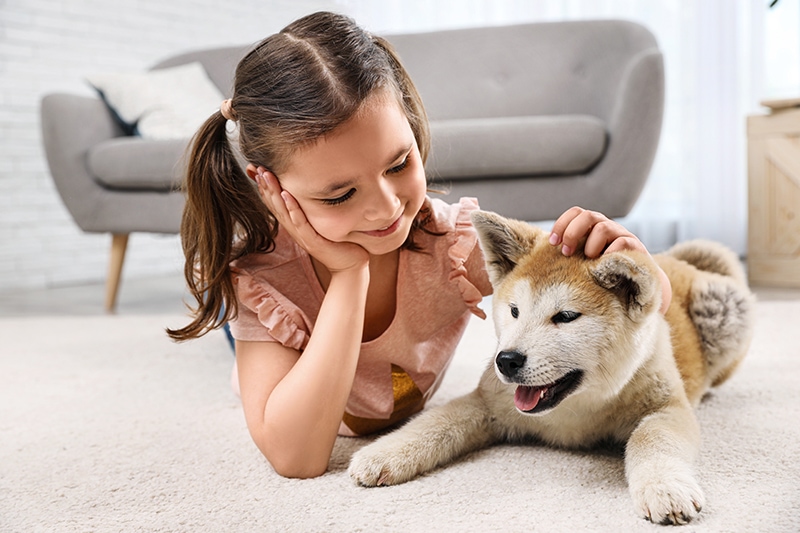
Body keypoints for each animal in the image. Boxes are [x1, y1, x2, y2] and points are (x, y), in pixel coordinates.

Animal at [350, 209, 756, 524]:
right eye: (514, 310)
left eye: (565, 317)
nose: (506, 360)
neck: (575, 409)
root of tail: (674, 259)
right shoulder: (488, 402)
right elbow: (434, 424)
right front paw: (381, 454)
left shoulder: (665, 408)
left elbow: (652, 440)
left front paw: (666, 489)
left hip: (725, 306)